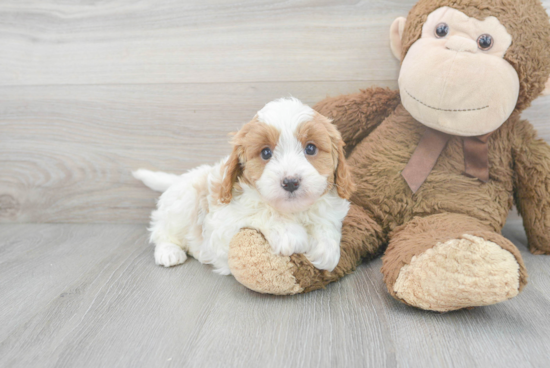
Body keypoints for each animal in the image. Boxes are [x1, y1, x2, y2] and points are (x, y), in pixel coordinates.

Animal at [136, 96, 356, 274]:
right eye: (266, 153)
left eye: (310, 148)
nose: (291, 182)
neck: (293, 211)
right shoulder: (222, 224)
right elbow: (262, 211)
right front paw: (289, 233)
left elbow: (326, 222)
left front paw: (327, 248)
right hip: (181, 206)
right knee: (161, 231)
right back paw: (169, 252)